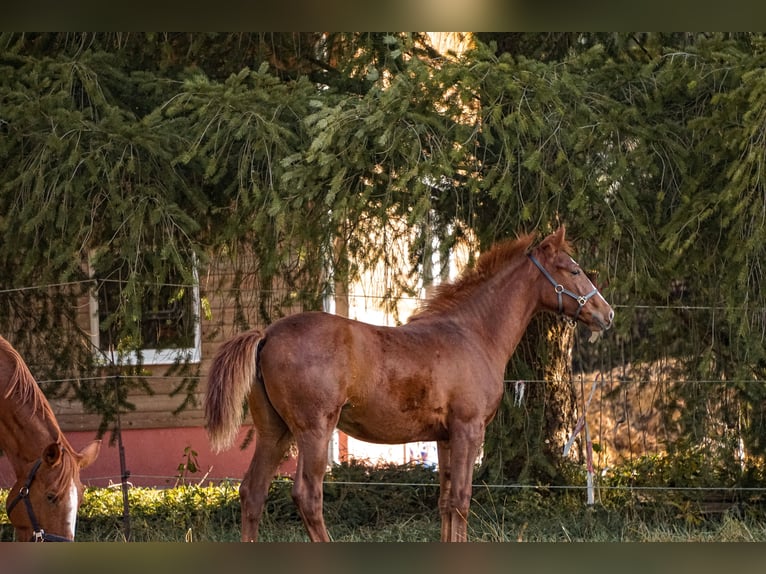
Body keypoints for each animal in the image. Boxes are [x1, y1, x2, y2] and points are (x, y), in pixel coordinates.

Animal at [204, 226, 614, 542]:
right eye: (574, 270)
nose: (606, 314)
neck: (472, 334)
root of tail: (267, 334)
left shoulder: (445, 437)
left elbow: (446, 502)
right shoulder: (468, 430)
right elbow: (462, 499)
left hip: (274, 432)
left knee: (252, 493)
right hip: (313, 430)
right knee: (307, 496)